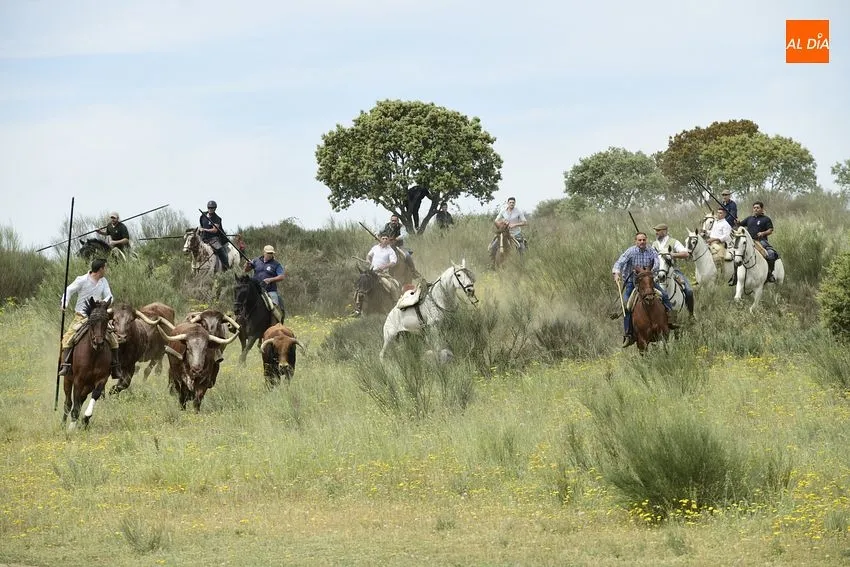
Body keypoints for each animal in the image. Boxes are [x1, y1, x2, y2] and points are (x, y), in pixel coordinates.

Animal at [61, 297, 113, 430]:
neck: (93, 354)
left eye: (106, 320)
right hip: (67, 379)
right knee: (68, 403)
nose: (98, 343)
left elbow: (95, 394)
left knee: (81, 399)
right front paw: (71, 428)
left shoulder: (101, 379)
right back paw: (63, 425)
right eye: (91, 321)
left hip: (88, 385)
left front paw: (86, 417)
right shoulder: (78, 380)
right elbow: (74, 404)